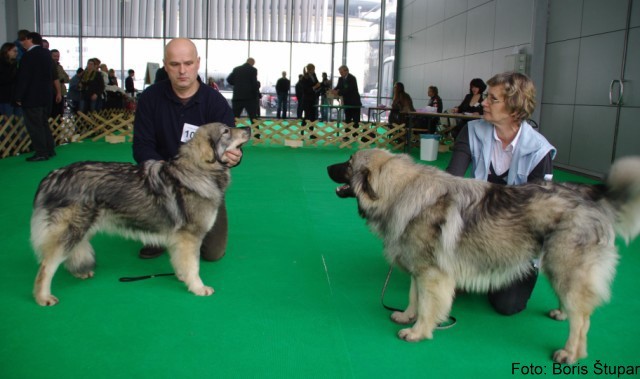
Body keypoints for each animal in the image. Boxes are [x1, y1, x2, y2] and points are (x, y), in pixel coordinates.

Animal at [31, 123, 250, 308]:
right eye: (226, 131)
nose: (248, 128)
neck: (198, 171)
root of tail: (54, 175)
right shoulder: (190, 237)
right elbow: (193, 266)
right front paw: (197, 287)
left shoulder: (179, 239)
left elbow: (180, 261)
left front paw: (182, 277)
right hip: (72, 229)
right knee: (46, 266)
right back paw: (43, 297)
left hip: (83, 227)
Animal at [330, 148, 640, 366]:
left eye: (348, 163)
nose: (327, 167)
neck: (402, 193)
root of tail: (590, 195)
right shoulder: (419, 268)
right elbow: (413, 297)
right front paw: (407, 316)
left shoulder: (432, 274)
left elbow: (428, 306)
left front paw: (418, 332)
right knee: (576, 308)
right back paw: (561, 312)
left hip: (565, 267)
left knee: (582, 320)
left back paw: (570, 353)